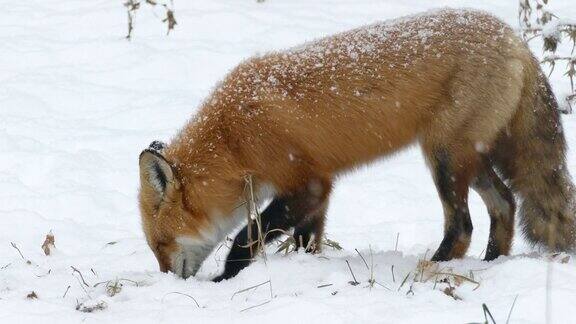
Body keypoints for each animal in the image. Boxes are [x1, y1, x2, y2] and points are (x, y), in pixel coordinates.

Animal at [138, 8, 576, 280]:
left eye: (160, 244)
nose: (169, 283)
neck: (233, 138)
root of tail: (514, 38)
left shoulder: (307, 183)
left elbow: (246, 239)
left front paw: (225, 279)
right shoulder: (317, 190)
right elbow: (306, 240)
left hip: (444, 158)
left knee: (463, 226)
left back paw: (430, 269)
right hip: (468, 157)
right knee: (505, 204)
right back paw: (490, 265)